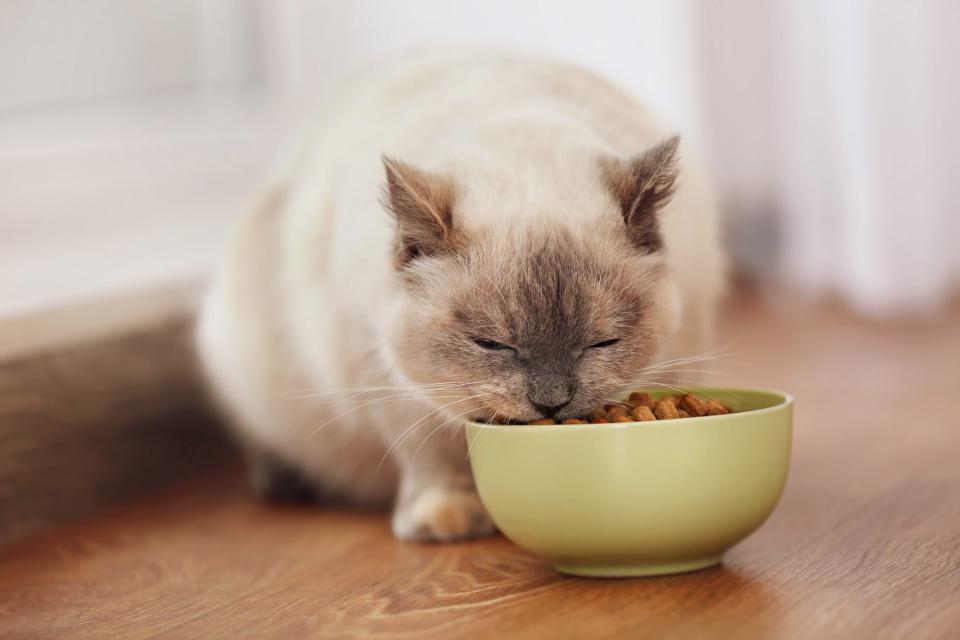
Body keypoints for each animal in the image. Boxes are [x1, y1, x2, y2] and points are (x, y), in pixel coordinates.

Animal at [197, 48, 720, 540]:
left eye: (602, 342)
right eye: (491, 344)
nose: (551, 405)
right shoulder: (389, 386)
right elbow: (432, 457)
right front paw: (449, 519)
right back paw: (281, 481)